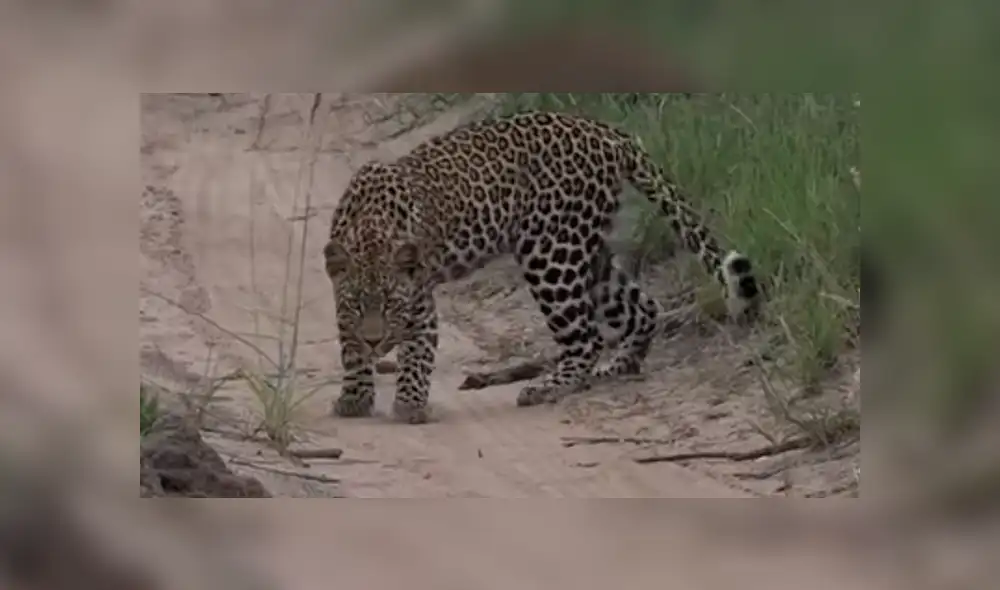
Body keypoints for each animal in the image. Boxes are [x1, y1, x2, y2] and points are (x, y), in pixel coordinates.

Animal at [323, 110, 761, 424]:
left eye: (393, 306)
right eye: (358, 306)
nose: (377, 342)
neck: (371, 231)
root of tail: (608, 132)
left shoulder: (420, 302)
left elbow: (417, 352)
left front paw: (409, 406)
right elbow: (349, 347)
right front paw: (355, 398)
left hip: (551, 255)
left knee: (587, 337)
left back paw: (549, 387)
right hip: (587, 253)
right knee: (643, 308)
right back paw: (616, 369)